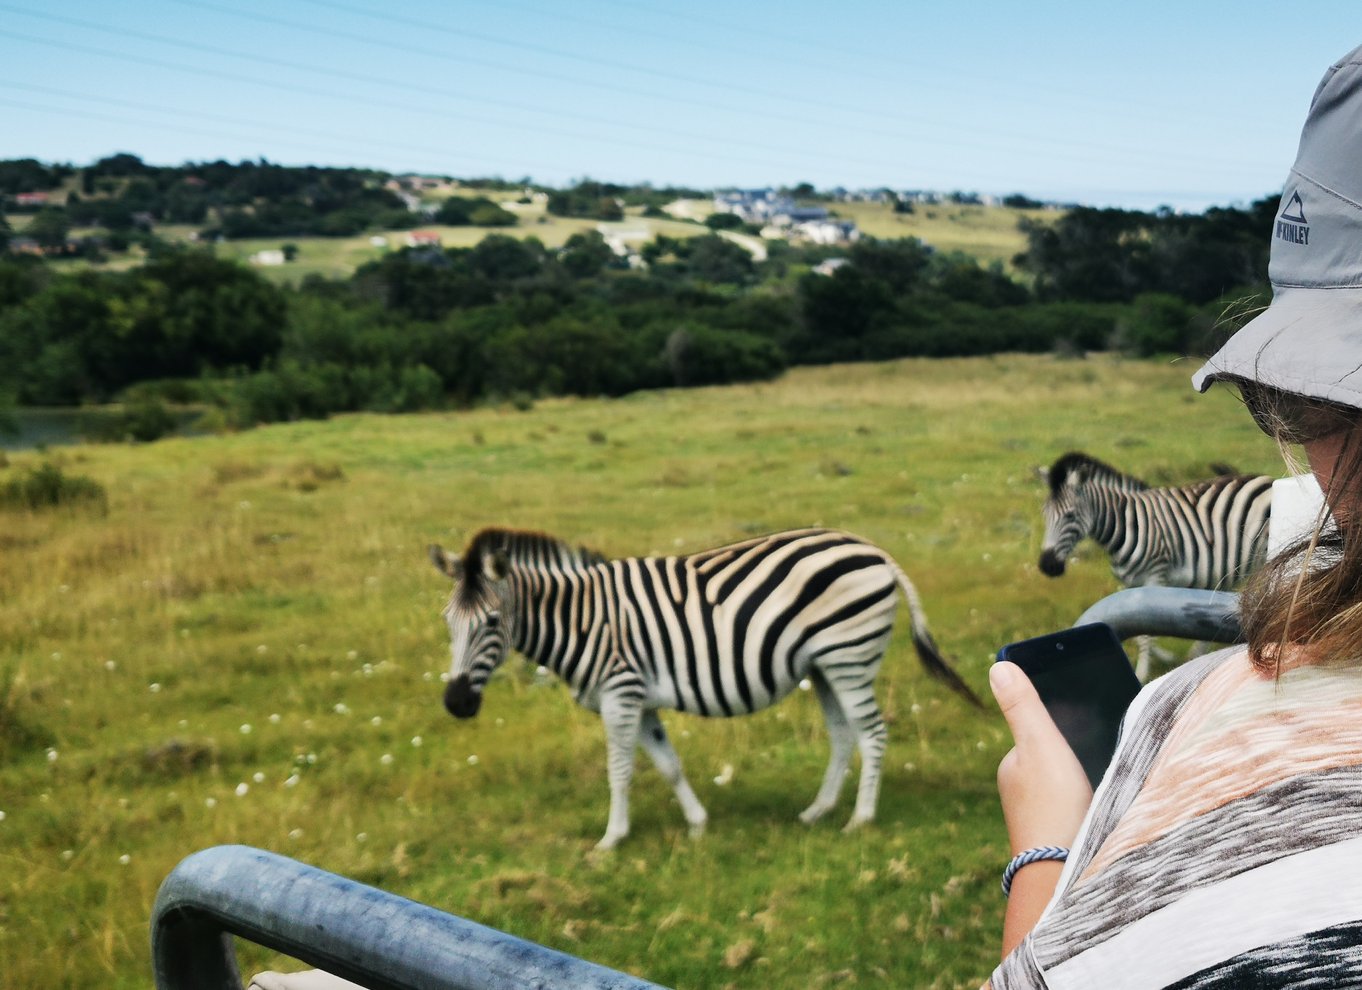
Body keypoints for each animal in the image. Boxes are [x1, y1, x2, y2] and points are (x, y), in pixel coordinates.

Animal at [424, 525, 980, 849]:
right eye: (448, 621)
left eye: (491, 622)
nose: (455, 703)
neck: (581, 618)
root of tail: (873, 549)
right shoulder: (640, 700)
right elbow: (668, 764)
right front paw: (697, 823)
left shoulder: (620, 693)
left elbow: (619, 770)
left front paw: (611, 839)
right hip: (824, 665)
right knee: (844, 736)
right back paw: (817, 811)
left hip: (849, 656)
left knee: (872, 733)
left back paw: (860, 819)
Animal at [1040, 454, 1274, 680]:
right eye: (1044, 514)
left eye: (1070, 515)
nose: (1047, 566)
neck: (1125, 525)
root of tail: (1265, 478)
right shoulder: (1130, 586)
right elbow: (1141, 627)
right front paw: (1164, 656)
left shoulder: (1155, 575)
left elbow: (1145, 635)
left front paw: (1142, 672)